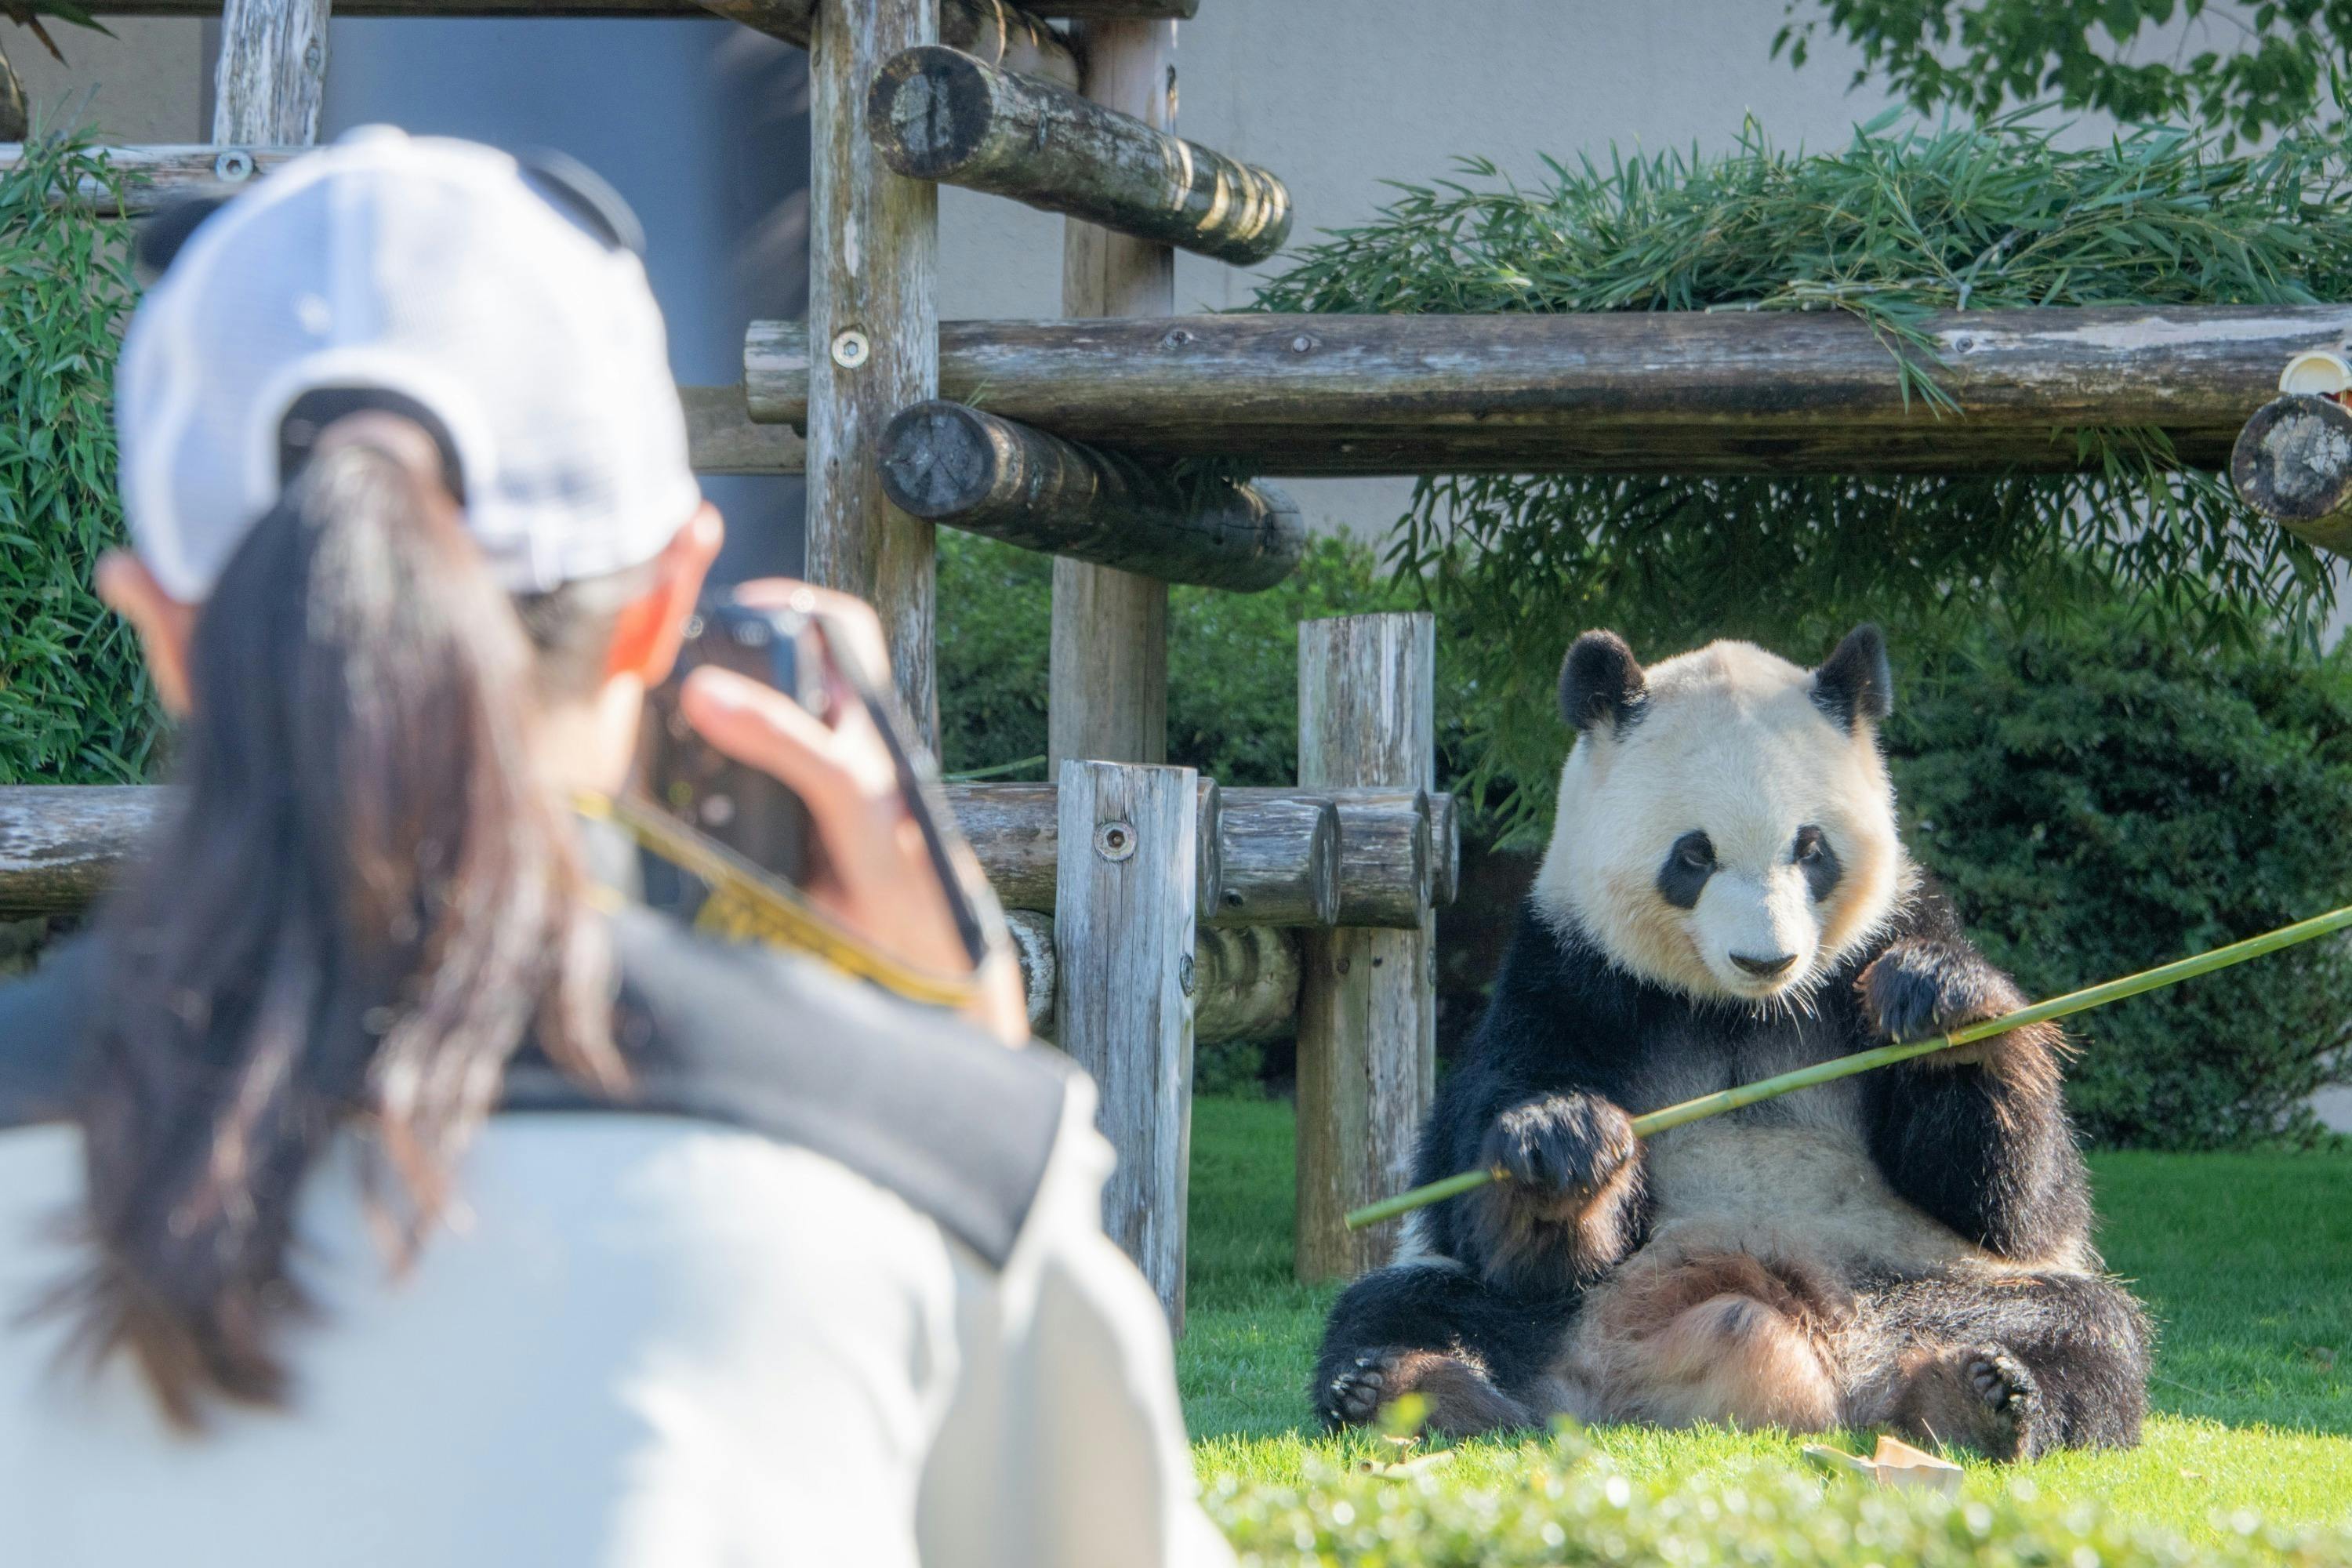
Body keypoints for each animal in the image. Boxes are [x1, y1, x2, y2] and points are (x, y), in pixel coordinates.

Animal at [1317, 620, 2154, 1457]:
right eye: (1694, 854)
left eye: (1811, 849)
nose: (1768, 960)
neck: (1740, 1011)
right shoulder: (1567, 973)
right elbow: (1492, 1207)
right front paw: (1563, 1145)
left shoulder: (1888, 933)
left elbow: (2009, 1201)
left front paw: (1939, 1006)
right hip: (1547, 1315)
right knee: (1406, 1305)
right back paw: (1413, 1392)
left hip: (1925, 1284)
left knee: (2082, 1328)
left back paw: (1980, 1398)